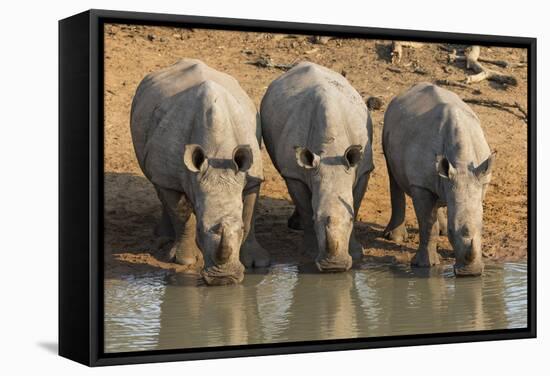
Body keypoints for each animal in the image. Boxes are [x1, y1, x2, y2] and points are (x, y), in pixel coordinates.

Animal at [133, 58, 272, 284]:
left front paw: (257, 262)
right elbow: (182, 215)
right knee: (158, 182)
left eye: (240, 230)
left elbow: (249, 214)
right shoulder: (171, 175)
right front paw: (185, 261)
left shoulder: (252, 177)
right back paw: (162, 236)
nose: (224, 279)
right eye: (200, 230)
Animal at [260, 62, 376, 274]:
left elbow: (355, 204)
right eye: (316, 219)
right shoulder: (294, 174)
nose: (334, 267)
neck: (331, 152)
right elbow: (306, 208)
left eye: (350, 221)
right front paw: (309, 252)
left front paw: (356, 253)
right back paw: (295, 225)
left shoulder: (363, 169)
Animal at [384, 83, 496, 276]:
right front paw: (425, 265)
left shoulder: (480, 179)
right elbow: (428, 224)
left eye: (483, 229)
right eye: (452, 231)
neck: (462, 164)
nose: (471, 273)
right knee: (393, 175)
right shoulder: (420, 184)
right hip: (387, 127)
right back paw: (395, 237)